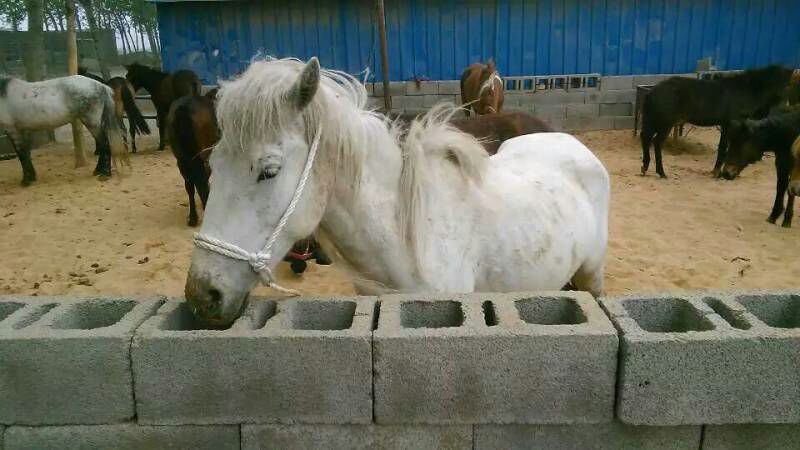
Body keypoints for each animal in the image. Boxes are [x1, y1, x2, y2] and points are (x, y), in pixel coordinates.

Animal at [184, 57, 610, 327]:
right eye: (213, 165)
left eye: (269, 171)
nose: (202, 295)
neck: (409, 239)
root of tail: (570, 142)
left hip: (592, 276)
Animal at [640, 65, 793, 178]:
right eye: (787, 85)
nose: (786, 107)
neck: (743, 92)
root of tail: (652, 92)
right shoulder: (729, 124)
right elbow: (724, 147)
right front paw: (717, 172)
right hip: (665, 124)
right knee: (656, 142)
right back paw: (661, 172)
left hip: (653, 121)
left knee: (646, 138)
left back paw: (645, 167)